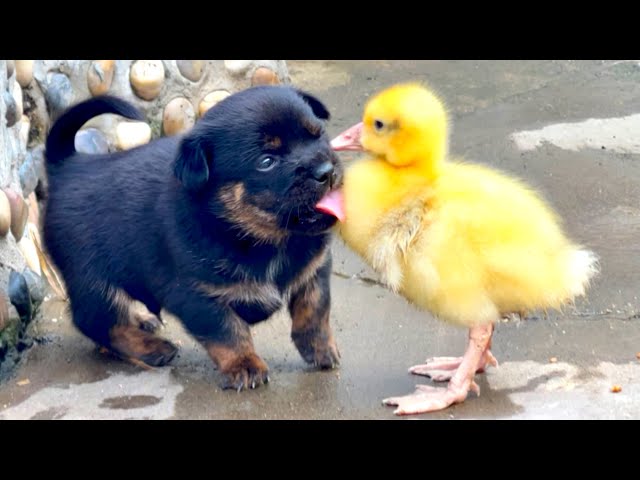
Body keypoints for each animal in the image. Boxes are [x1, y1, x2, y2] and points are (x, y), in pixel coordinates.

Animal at [43, 86, 344, 392]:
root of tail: (68, 166)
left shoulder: (315, 269)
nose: (326, 171)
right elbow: (228, 331)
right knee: (97, 322)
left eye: (318, 134)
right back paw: (151, 347)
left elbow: (315, 310)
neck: (265, 239)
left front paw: (320, 348)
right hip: (93, 282)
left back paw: (142, 320)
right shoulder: (197, 295)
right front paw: (245, 364)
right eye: (266, 162)